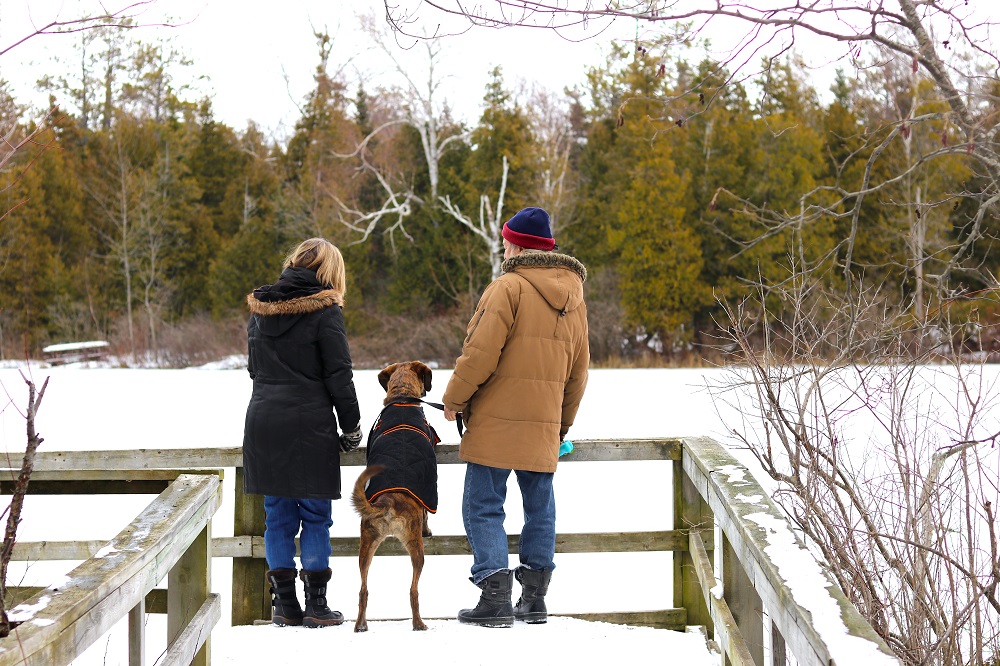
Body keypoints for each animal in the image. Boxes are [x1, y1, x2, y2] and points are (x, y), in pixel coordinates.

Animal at [356, 360, 442, 632]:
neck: (401, 397)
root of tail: (388, 502)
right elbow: (428, 513)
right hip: (416, 547)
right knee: (413, 590)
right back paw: (418, 623)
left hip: (366, 544)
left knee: (363, 589)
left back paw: (360, 625)